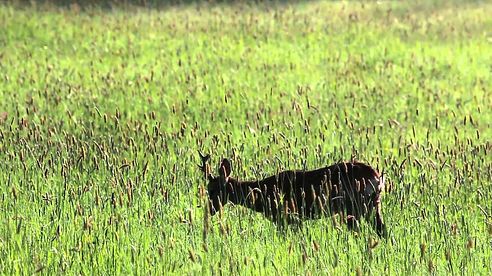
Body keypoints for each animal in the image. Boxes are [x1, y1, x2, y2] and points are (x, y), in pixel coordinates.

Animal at [198, 152, 386, 236]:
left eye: (214, 190)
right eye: (207, 189)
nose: (210, 209)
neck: (264, 192)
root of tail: (378, 178)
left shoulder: (287, 216)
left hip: (355, 207)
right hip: (372, 206)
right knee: (382, 230)